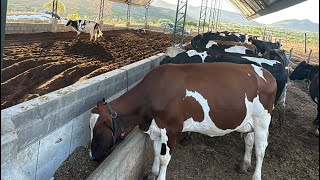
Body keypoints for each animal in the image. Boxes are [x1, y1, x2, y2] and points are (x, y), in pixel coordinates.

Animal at [88, 62, 278, 180]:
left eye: (98, 129)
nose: (91, 155)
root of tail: (267, 73)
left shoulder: (172, 129)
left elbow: (164, 158)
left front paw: (160, 176)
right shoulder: (157, 129)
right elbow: (156, 152)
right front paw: (152, 173)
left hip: (262, 121)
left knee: (261, 149)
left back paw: (256, 175)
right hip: (249, 123)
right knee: (249, 142)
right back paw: (245, 164)